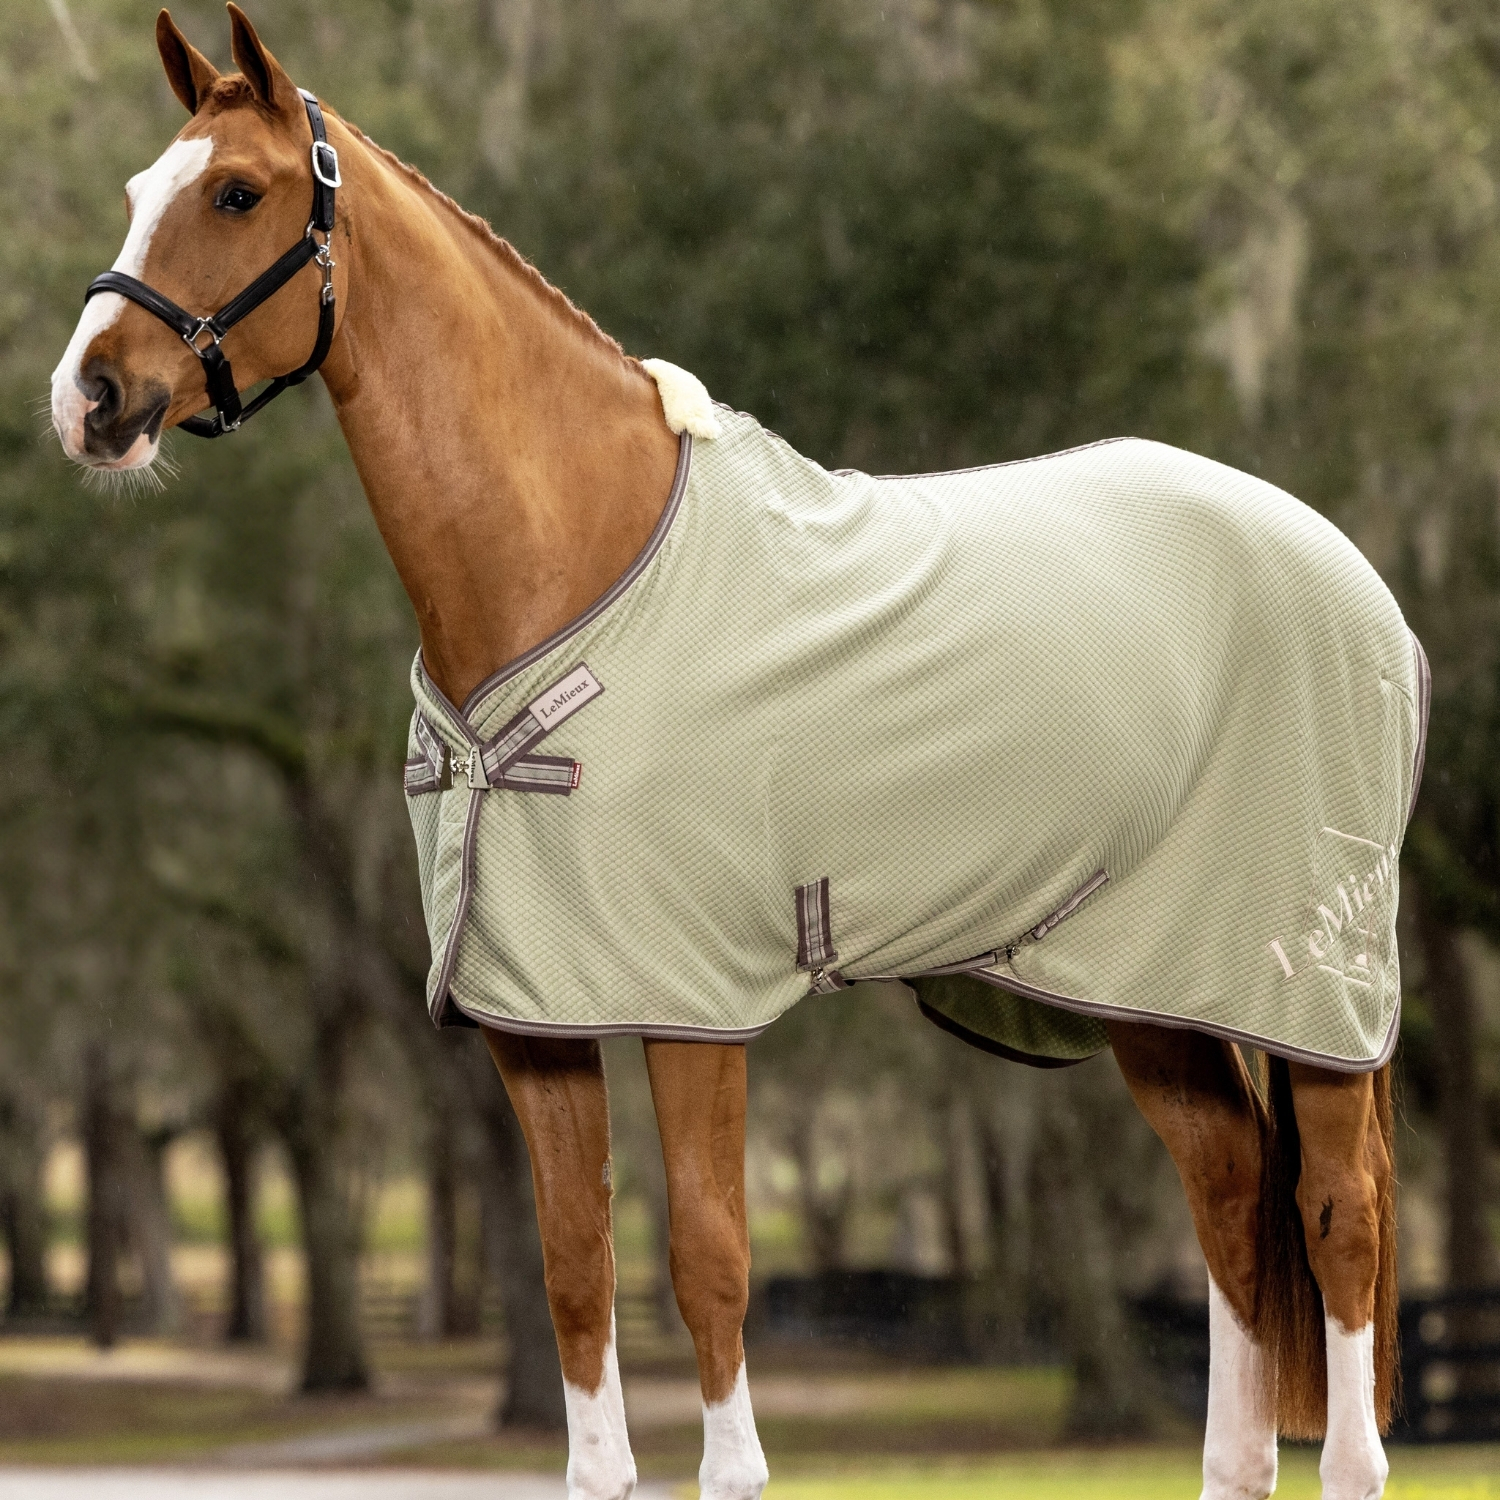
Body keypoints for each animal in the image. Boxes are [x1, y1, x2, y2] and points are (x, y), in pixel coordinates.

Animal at [52, 10, 1413, 1499]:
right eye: (138, 188)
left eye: (237, 194)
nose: (88, 398)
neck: (576, 559)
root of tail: (1350, 573)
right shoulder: (535, 1019)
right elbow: (576, 1269)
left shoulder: (693, 1000)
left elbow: (708, 1257)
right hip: (1150, 991)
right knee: (1228, 1195)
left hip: (1313, 989)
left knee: (1337, 1212)